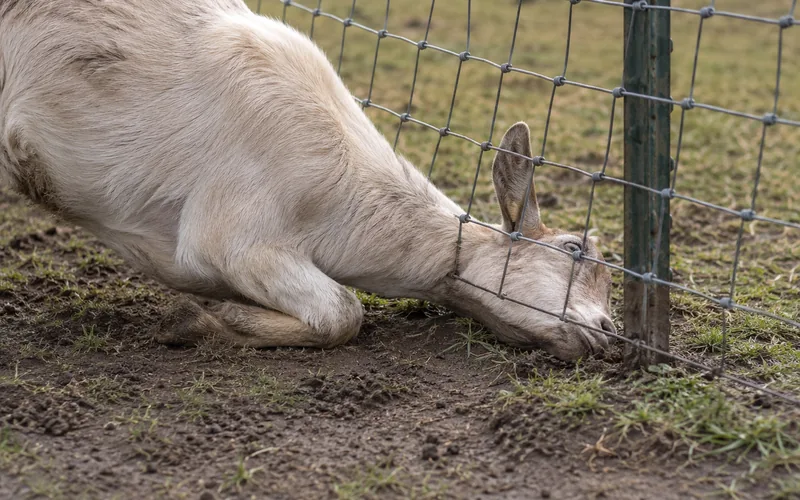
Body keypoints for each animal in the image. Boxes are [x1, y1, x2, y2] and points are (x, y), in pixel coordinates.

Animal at [0, 0, 616, 361]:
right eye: (574, 248)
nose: (611, 333)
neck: (341, 200)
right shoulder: (232, 236)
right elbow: (343, 314)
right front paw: (195, 322)